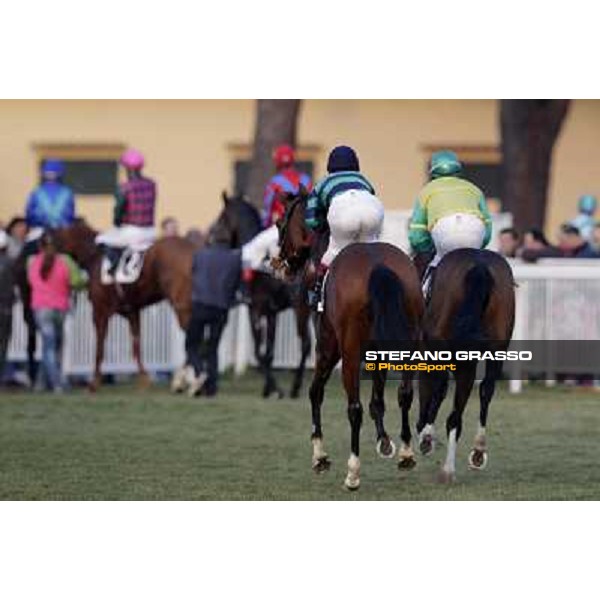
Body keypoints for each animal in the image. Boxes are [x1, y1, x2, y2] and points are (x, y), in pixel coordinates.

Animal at [15, 220, 195, 390]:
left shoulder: (99, 311)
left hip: (180, 304)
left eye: (46, 244)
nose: (43, 271)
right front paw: (144, 379)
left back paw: (184, 380)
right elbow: (136, 346)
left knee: (191, 338)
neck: (93, 257)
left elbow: (100, 347)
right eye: (41, 245)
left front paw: (94, 382)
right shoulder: (132, 311)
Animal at [210, 192, 314, 398]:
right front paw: (268, 388)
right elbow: (269, 352)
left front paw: (274, 389)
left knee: (306, 344)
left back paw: (295, 386)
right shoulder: (271, 313)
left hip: (301, 310)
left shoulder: (255, 310)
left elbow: (259, 353)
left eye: (222, 216)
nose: (210, 237)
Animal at [274, 195, 424, 490]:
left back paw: (353, 472)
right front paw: (384, 441)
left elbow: (315, 392)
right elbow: (378, 399)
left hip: (349, 352)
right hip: (409, 341)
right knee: (405, 393)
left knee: (353, 408)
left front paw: (320, 457)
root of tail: (377, 266)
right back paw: (406, 453)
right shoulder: (378, 352)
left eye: (280, 223)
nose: (282, 266)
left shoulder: (328, 348)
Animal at [412, 248, 516, 482]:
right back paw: (476, 452)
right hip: (496, 345)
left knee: (443, 391)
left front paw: (425, 436)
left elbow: (432, 390)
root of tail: (479, 265)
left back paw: (438, 453)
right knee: (485, 390)